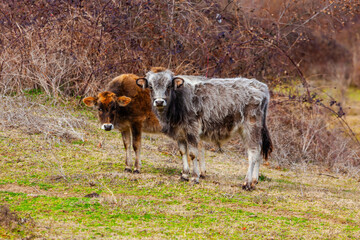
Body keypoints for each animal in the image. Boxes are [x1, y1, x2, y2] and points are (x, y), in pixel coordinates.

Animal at [136, 67, 272, 189]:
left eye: (169, 86)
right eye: (151, 87)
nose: (159, 102)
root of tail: (260, 86)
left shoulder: (192, 130)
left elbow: (192, 154)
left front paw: (194, 177)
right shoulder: (180, 133)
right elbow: (183, 152)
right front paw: (184, 175)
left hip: (251, 127)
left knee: (253, 153)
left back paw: (247, 183)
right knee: (259, 152)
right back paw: (254, 181)